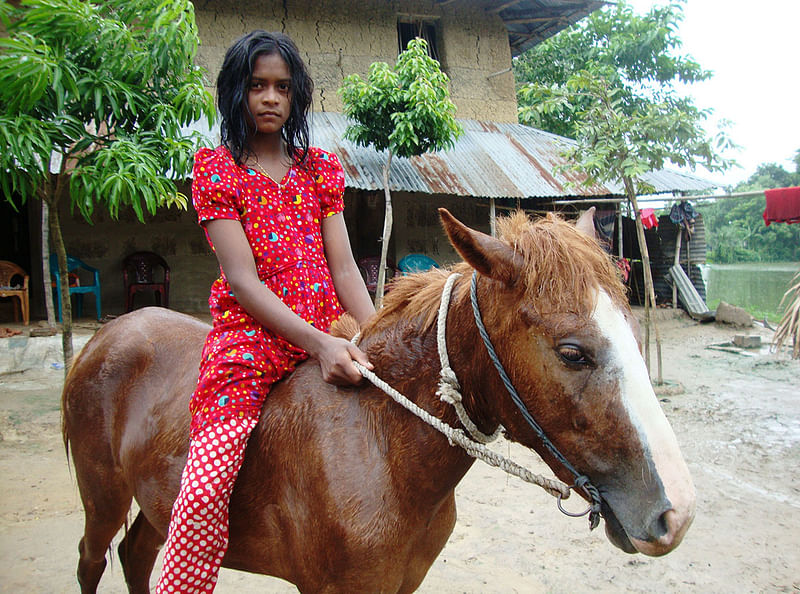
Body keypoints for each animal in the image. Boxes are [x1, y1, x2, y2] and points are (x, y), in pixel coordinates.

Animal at [62, 208, 692, 588]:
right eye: (572, 352)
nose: (676, 515)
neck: (382, 447)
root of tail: (106, 336)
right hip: (102, 498)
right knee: (93, 558)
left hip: (154, 506)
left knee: (136, 555)